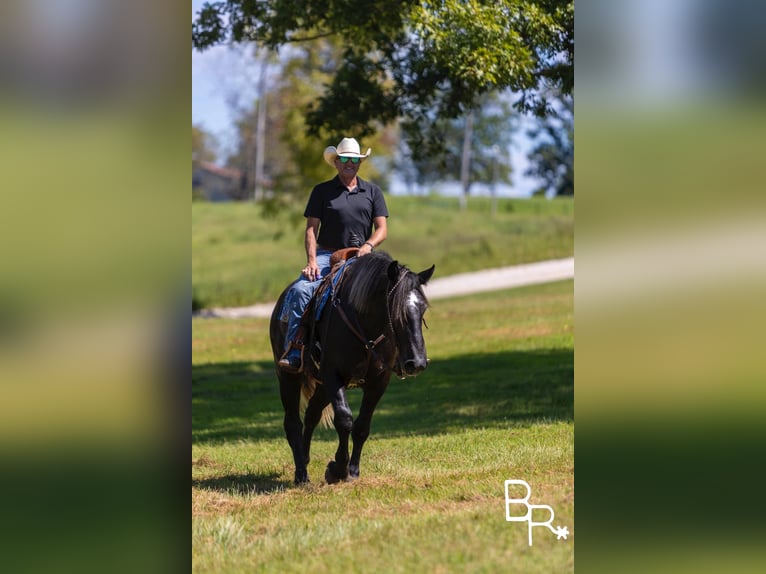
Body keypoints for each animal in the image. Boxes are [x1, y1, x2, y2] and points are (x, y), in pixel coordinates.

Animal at [270, 251, 435, 484]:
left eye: (423, 309)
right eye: (396, 310)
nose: (417, 363)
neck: (364, 327)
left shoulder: (378, 382)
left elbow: (362, 426)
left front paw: (353, 471)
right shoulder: (333, 375)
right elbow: (344, 420)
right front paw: (338, 468)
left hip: (321, 386)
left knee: (311, 414)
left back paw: (306, 458)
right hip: (288, 377)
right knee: (293, 422)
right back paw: (301, 473)